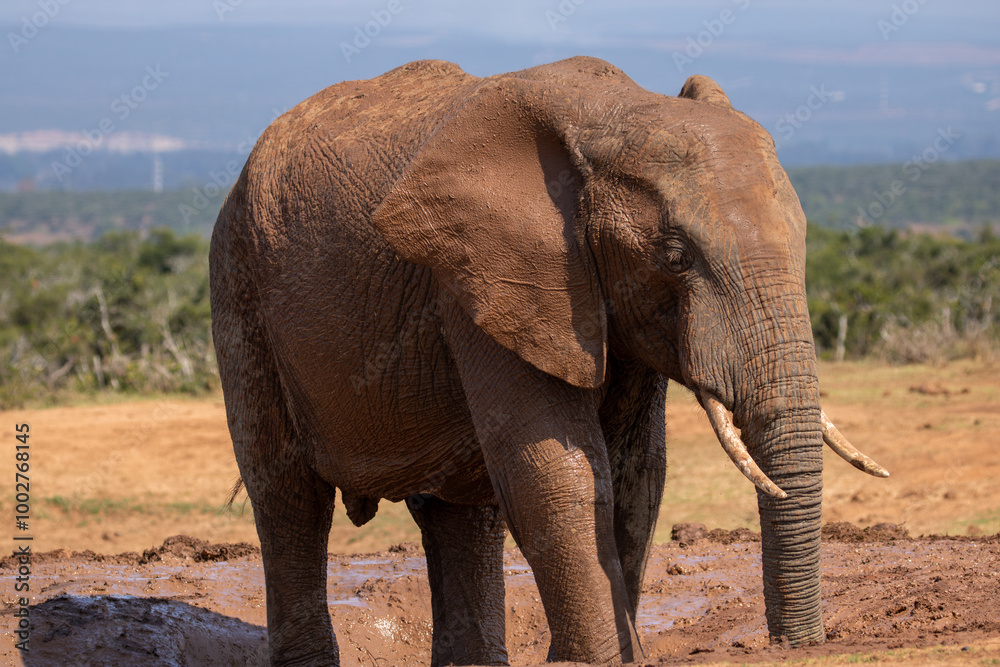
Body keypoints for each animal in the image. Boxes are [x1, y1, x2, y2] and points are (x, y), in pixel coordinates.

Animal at [209, 56, 888, 666]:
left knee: (461, 513)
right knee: (288, 497)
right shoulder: (490, 275)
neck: (612, 112)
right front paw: (604, 660)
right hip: (240, 284)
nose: (796, 646)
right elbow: (557, 472)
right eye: (675, 256)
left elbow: (638, 473)